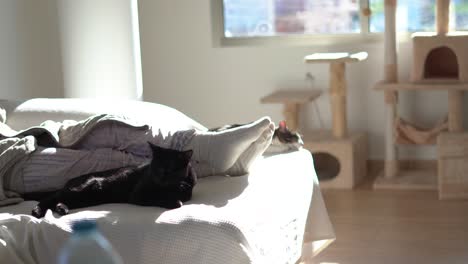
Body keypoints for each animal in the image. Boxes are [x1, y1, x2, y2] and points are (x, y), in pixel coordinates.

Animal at [27, 142, 196, 219]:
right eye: (157, 167)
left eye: (172, 169)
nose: (162, 176)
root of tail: (68, 182)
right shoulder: (138, 195)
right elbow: (157, 198)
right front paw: (174, 202)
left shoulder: (188, 191)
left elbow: (180, 193)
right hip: (82, 188)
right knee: (50, 197)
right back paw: (37, 211)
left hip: (87, 198)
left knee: (59, 201)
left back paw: (62, 208)